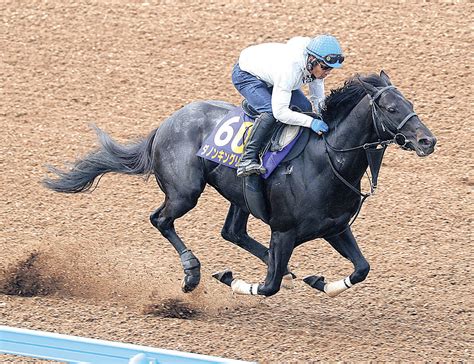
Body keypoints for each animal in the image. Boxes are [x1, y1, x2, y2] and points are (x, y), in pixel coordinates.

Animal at [44, 70, 436, 298]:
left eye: (410, 102)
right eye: (390, 108)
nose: (426, 141)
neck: (327, 159)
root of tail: (167, 122)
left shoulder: (335, 227)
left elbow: (361, 268)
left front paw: (318, 281)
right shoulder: (284, 232)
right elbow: (267, 287)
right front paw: (227, 277)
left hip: (239, 196)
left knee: (232, 231)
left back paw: (286, 269)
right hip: (185, 192)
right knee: (161, 219)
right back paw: (192, 273)